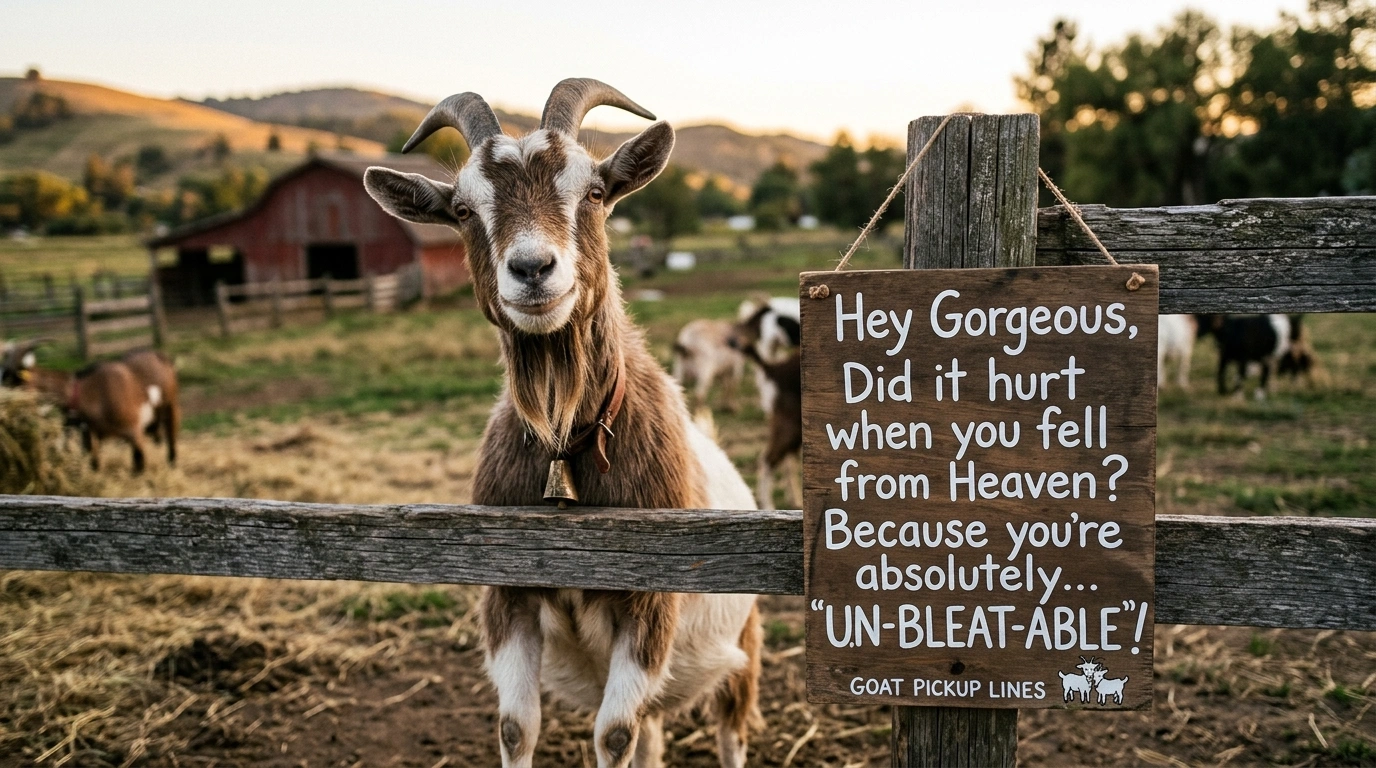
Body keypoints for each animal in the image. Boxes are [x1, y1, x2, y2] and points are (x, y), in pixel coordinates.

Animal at [363, 79, 760, 768]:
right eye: (462, 209)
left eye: (595, 191)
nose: (532, 269)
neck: (567, 439)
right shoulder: (508, 592)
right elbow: (517, 726)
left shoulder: (650, 599)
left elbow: (613, 733)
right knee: (653, 733)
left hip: (744, 647)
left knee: (729, 730)